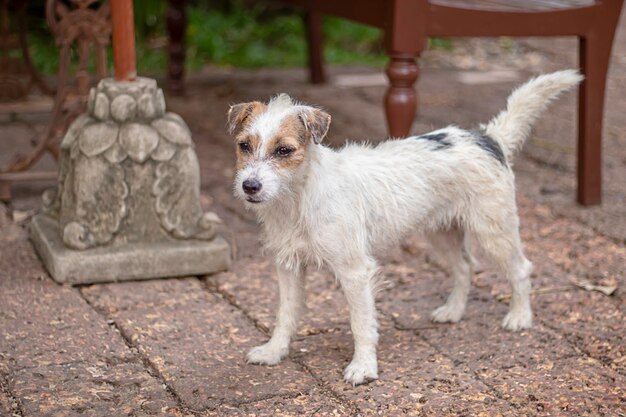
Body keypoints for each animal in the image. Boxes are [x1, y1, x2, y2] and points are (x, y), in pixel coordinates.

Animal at [228, 70, 580, 384]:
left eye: (284, 150)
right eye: (244, 146)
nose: (249, 186)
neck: (297, 197)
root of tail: (486, 137)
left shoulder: (355, 272)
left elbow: (361, 323)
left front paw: (363, 367)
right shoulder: (288, 266)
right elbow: (285, 314)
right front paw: (274, 351)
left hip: (493, 230)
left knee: (520, 268)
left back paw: (520, 316)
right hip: (442, 234)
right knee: (465, 267)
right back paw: (453, 311)